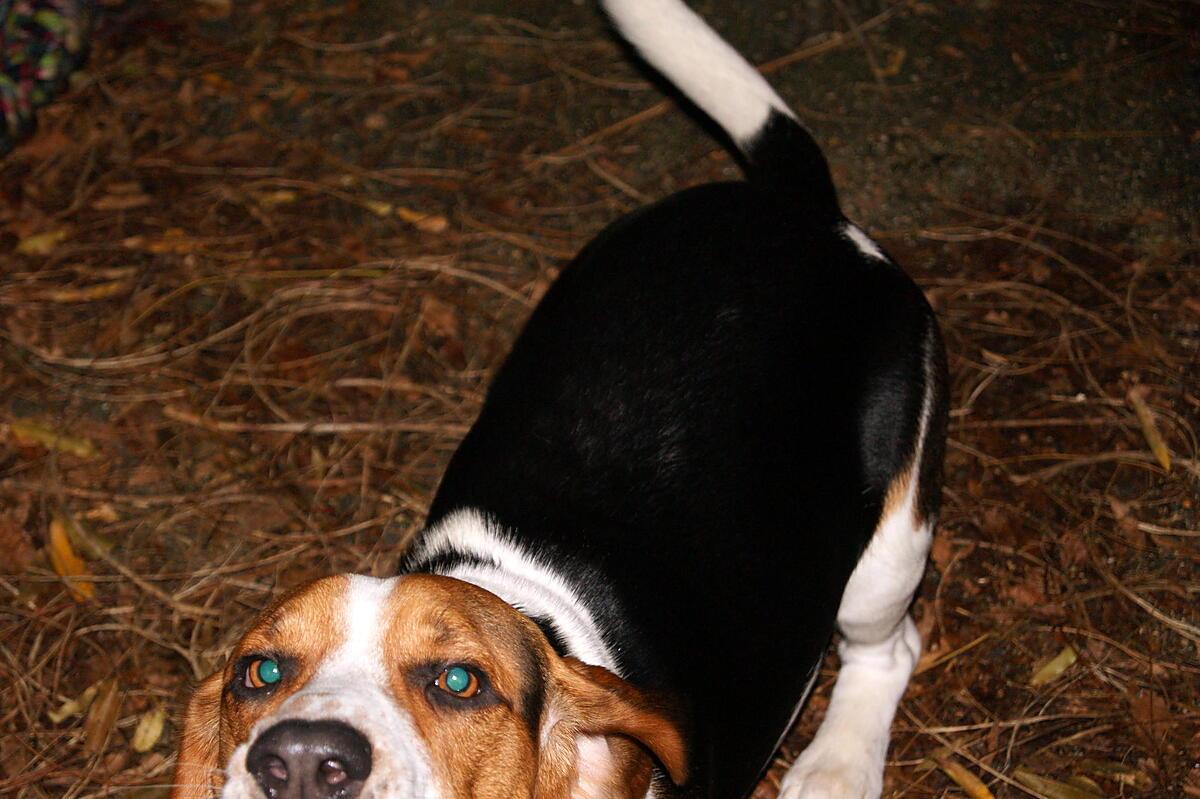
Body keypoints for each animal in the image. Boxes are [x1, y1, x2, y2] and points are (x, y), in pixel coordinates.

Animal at [174, 1, 950, 796]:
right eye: (259, 672)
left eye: (460, 681)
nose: (300, 756)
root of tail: (795, 207)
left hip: (889, 552)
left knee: (888, 648)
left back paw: (837, 766)